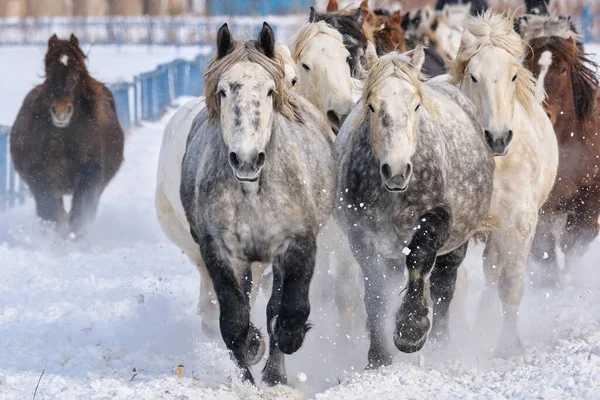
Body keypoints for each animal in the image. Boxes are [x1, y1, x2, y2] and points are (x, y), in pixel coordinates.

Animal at [9, 34, 123, 238]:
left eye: (76, 70)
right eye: (49, 69)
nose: (61, 112)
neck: (63, 141)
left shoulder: (89, 178)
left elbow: (78, 216)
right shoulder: (40, 180)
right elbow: (52, 214)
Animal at [336, 48, 494, 368]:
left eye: (417, 105)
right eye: (371, 105)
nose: (396, 171)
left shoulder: (437, 219)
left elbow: (419, 260)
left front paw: (411, 330)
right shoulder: (361, 236)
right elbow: (375, 291)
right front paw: (378, 356)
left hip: (456, 245)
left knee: (445, 287)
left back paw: (440, 344)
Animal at [450, 12, 556, 354]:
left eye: (513, 76)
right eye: (473, 76)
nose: (497, 138)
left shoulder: (520, 221)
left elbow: (510, 284)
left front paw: (509, 346)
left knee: (493, 270)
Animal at [524, 36, 596, 286]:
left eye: (563, 69)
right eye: (529, 68)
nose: (542, 114)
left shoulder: (590, 198)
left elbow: (576, 240)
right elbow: (542, 247)